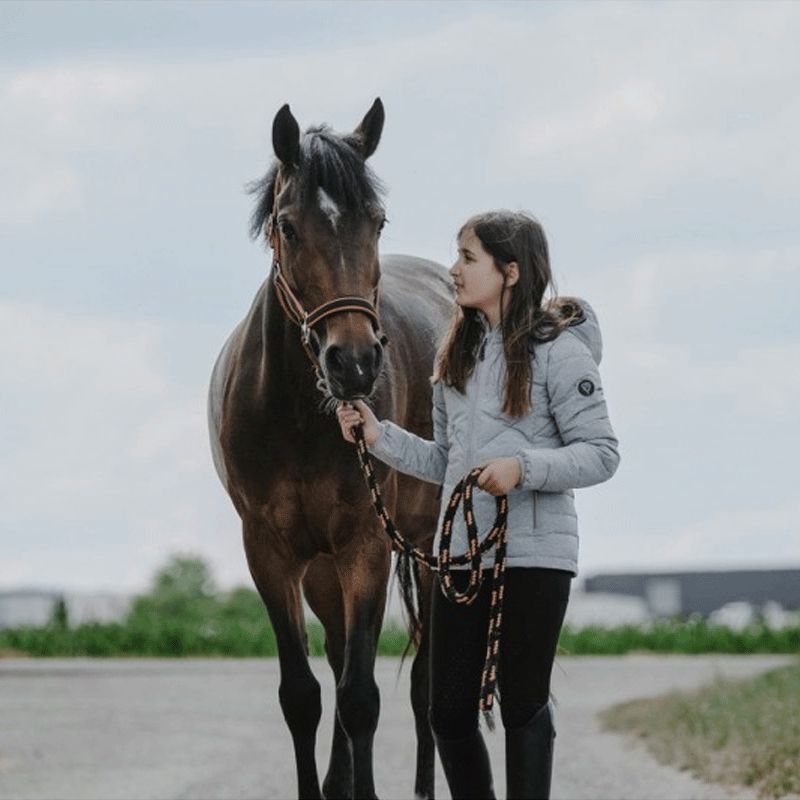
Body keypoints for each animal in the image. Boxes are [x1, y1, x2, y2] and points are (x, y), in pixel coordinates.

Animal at [206, 101, 454, 800]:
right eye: (288, 227)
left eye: (378, 220)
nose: (355, 364)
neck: (297, 415)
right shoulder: (270, 552)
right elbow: (305, 695)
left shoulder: (367, 544)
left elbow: (361, 697)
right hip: (322, 568)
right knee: (343, 655)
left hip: (426, 545)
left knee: (423, 685)